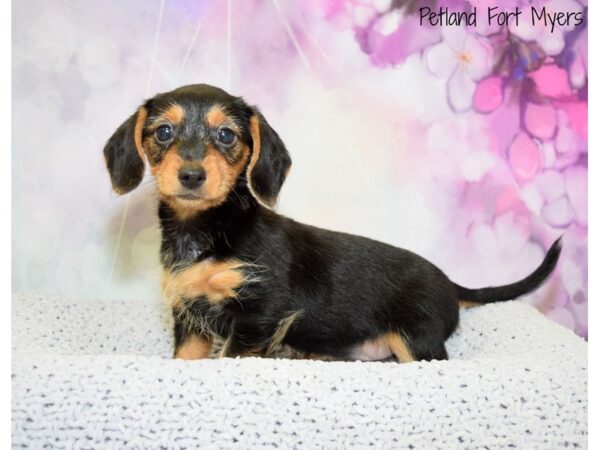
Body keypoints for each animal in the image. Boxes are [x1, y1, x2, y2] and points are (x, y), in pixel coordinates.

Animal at [104, 84, 564, 364]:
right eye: (164, 132)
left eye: (226, 136)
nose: (191, 176)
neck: (209, 231)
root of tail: (451, 284)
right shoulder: (189, 313)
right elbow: (185, 360)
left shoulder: (257, 314)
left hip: (416, 340)